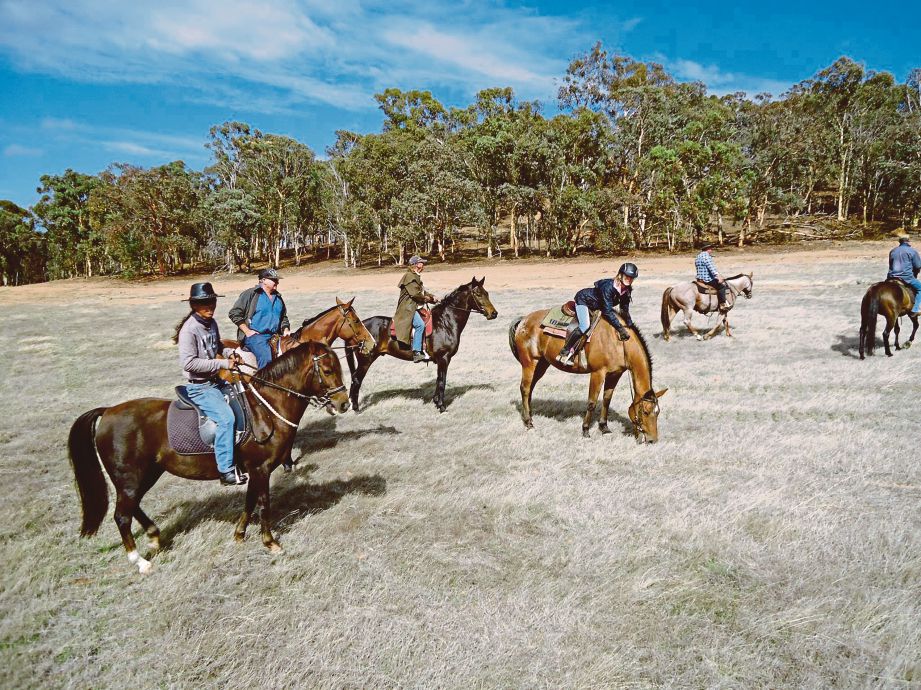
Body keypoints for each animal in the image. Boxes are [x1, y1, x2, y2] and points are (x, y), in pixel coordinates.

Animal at [66, 342, 350, 572]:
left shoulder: (253, 470)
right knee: (122, 516)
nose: (344, 403)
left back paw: (154, 536)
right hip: (130, 478)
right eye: (327, 370)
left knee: (132, 506)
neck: (266, 408)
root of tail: (108, 412)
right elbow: (263, 504)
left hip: (146, 474)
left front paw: (239, 535)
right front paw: (270, 543)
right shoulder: (261, 468)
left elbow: (249, 502)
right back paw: (140, 561)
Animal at [344, 276, 500, 414]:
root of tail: (357, 328)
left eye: (487, 293)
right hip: (366, 360)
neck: (445, 322)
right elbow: (442, 381)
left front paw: (436, 402)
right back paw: (356, 408)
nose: (494, 313)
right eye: (478, 294)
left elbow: (438, 380)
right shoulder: (444, 358)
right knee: (356, 380)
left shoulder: (441, 360)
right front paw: (442, 406)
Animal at [506, 310, 664, 438]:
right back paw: (529, 423)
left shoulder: (615, 374)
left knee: (530, 389)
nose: (652, 440)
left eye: (658, 412)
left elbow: (606, 400)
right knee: (525, 388)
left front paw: (604, 427)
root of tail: (524, 319)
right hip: (529, 363)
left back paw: (530, 417)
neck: (619, 341)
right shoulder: (598, 373)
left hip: (542, 364)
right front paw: (586, 430)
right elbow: (591, 402)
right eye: (645, 412)